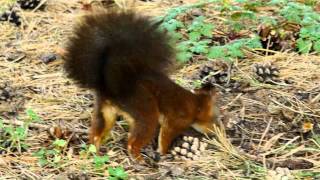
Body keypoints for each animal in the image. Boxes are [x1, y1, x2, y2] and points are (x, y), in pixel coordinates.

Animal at [64, 10, 220, 161]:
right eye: (215, 118)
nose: (215, 132)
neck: (195, 105)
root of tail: (113, 86)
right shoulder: (176, 120)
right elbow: (165, 137)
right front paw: (163, 153)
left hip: (105, 110)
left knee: (97, 133)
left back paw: (93, 152)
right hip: (145, 110)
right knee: (132, 143)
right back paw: (139, 159)